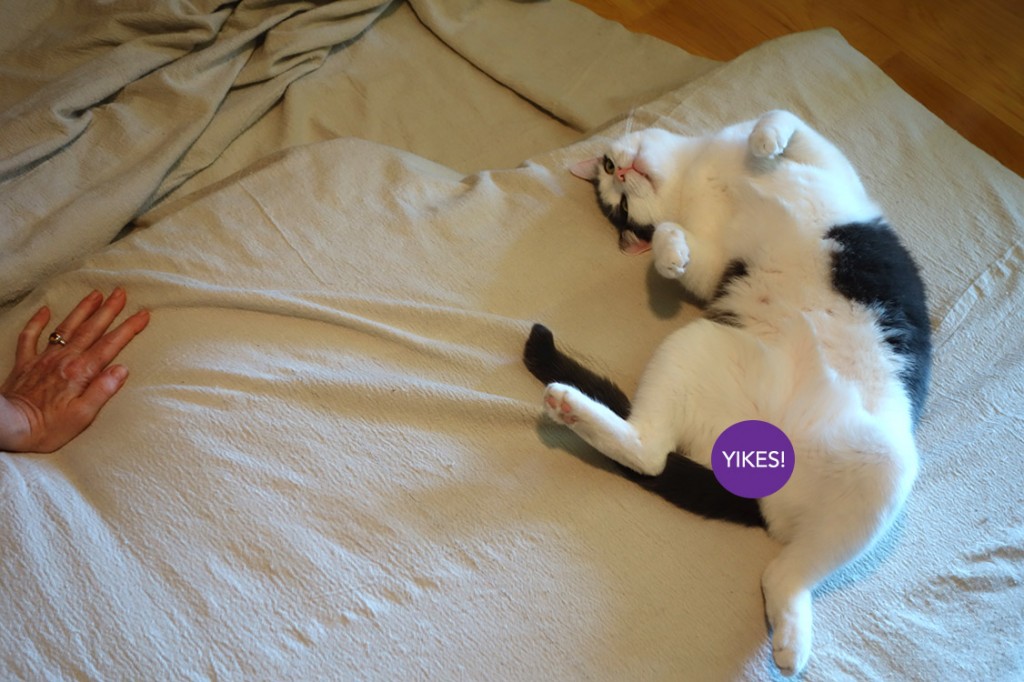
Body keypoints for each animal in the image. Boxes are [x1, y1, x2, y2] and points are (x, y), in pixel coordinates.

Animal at [524, 111, 933, 675]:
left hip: (879, 466)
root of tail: (766, 455)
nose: (623, 171)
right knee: (654, 458)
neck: (700, 175)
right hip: (699, 349)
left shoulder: (828, 166)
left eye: (608, 168)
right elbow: (680, 237)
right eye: (620, 203)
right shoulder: (716, 262)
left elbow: (782, 118)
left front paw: (763, 145)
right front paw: (669, 253)